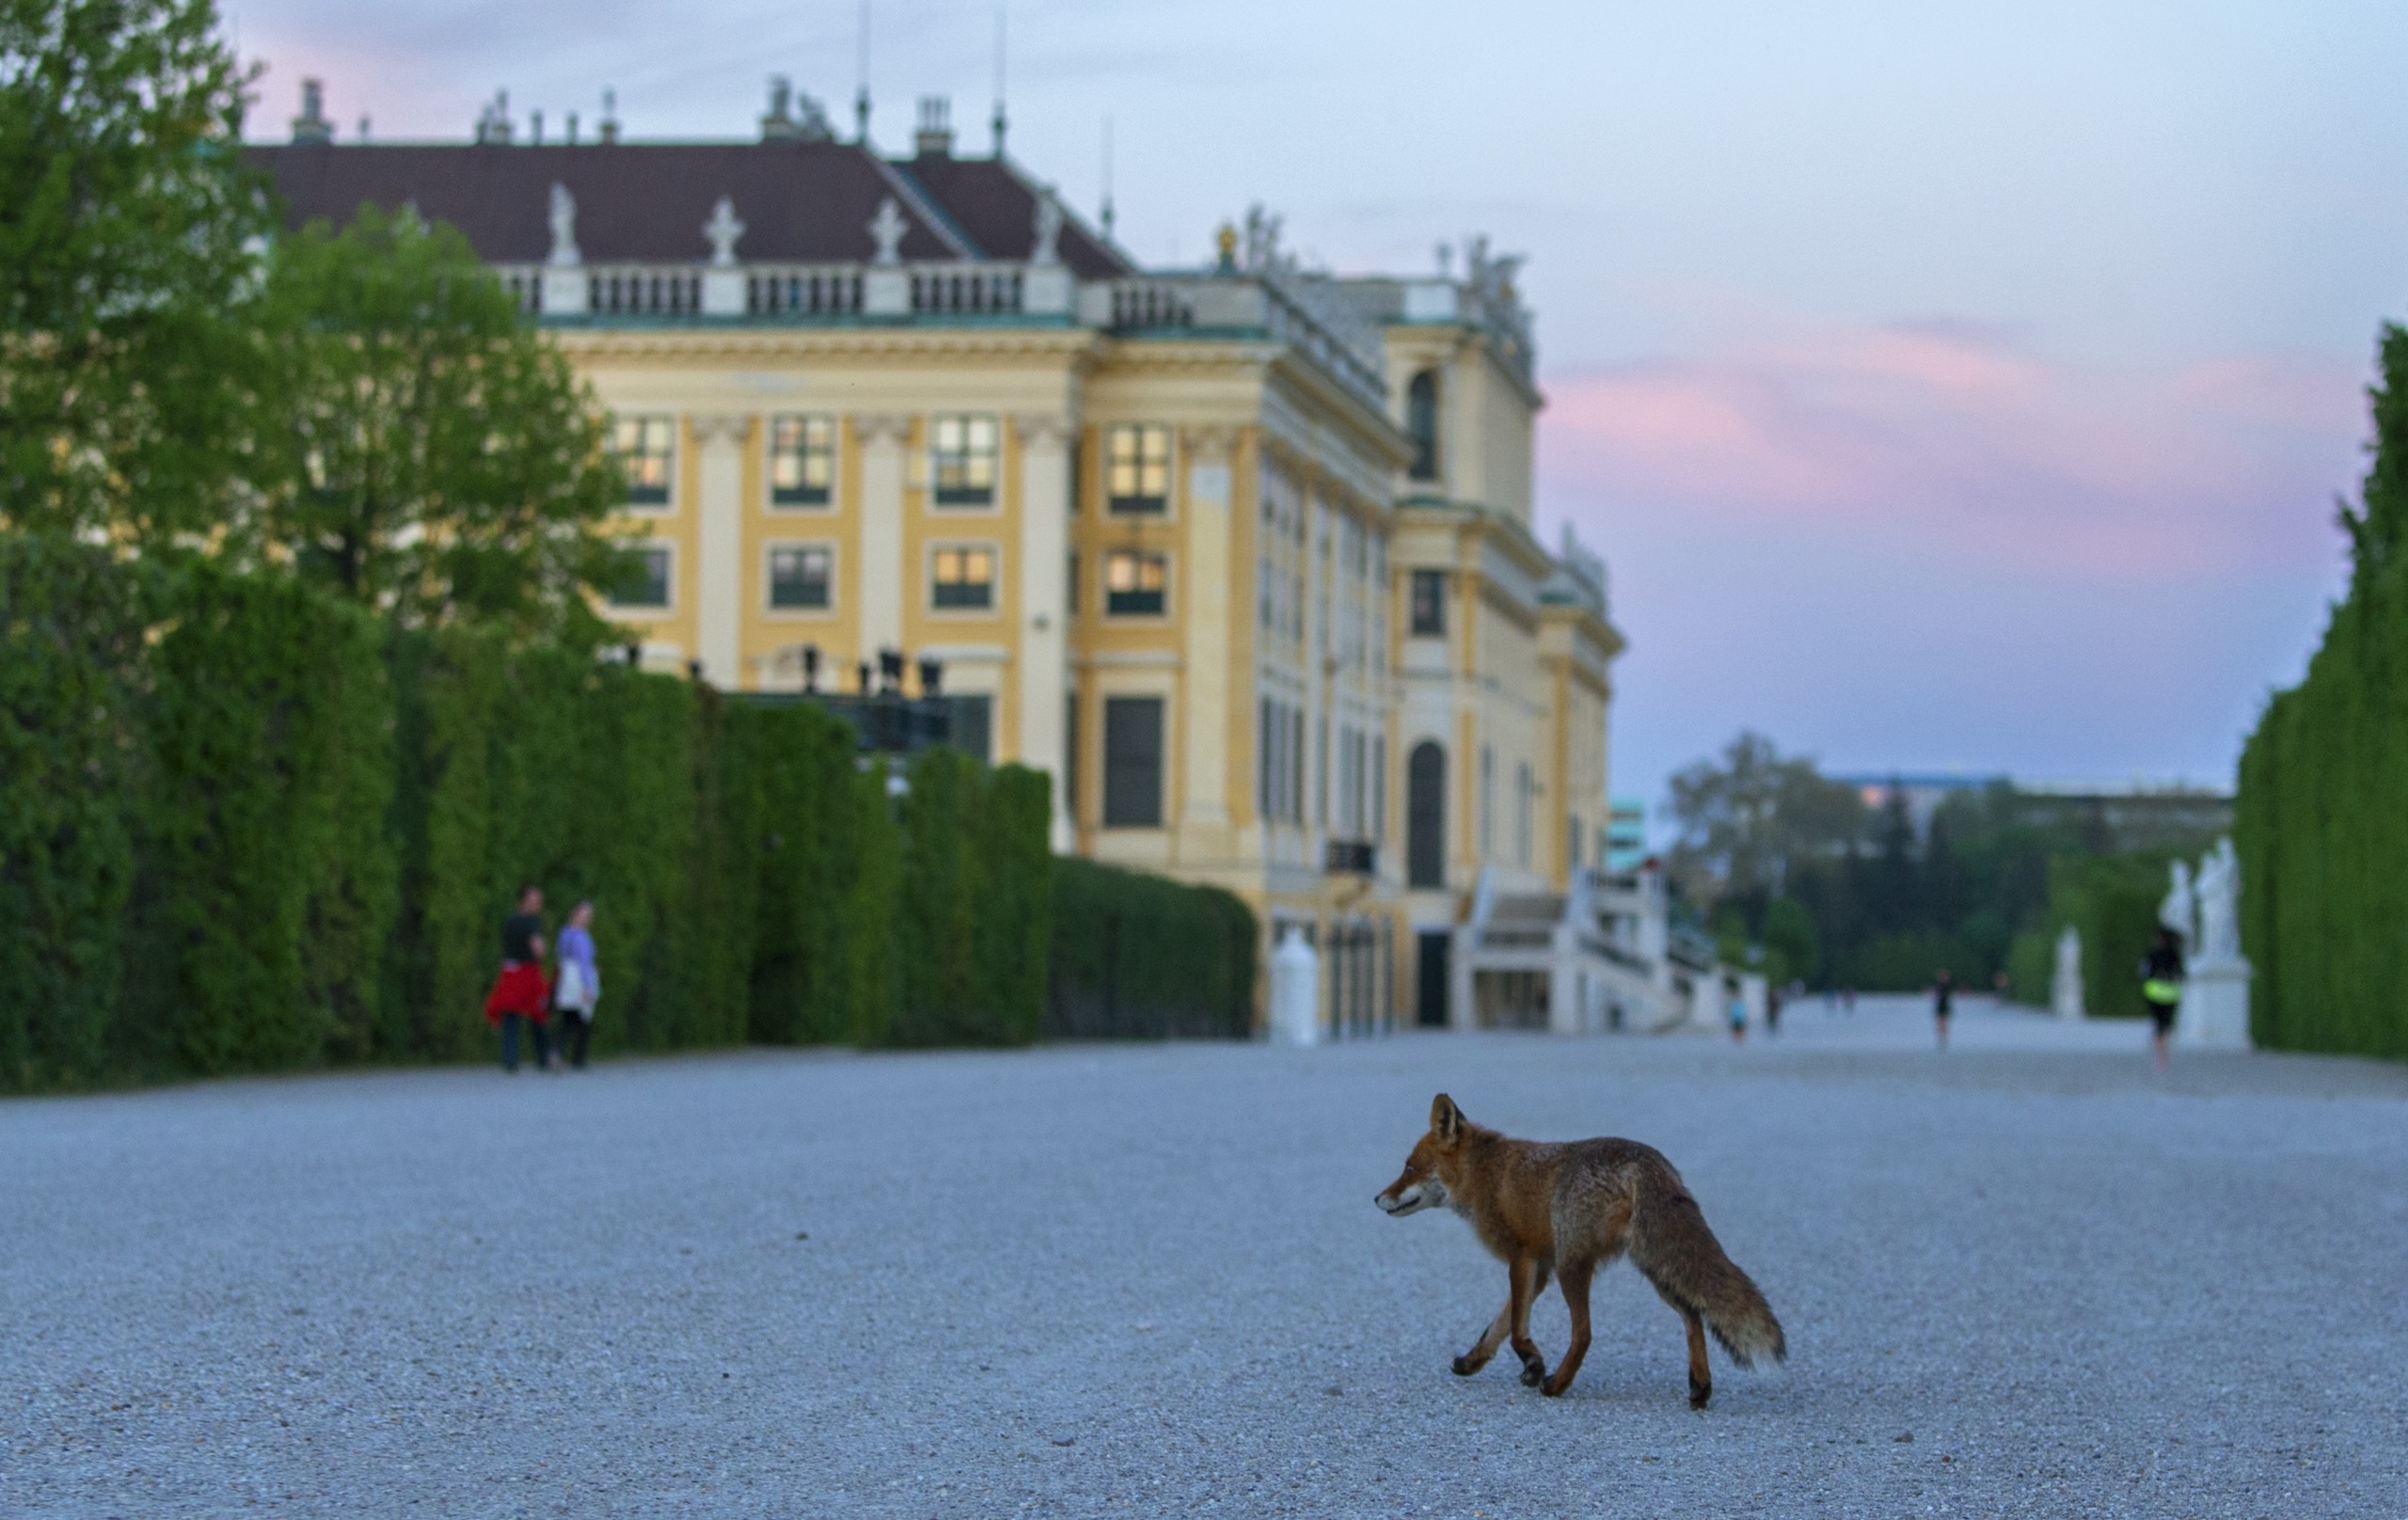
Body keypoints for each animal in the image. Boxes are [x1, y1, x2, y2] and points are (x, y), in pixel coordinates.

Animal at [1377, 1093, 1791, 1406]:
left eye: (1409, 1168)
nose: (1377, 1198)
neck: (1486, 1175)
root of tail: (1645, 1159)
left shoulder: (1525, 1258)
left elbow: (1515, 1330)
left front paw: (1534, 1365)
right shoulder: (1538, 1269)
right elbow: (1496, 1327)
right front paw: (1472, 1362)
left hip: (1573, 1265)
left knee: (1585, 1333)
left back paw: (1557, 1384)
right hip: (1655, 1268)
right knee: (1693, 1315)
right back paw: (1700, 1387)